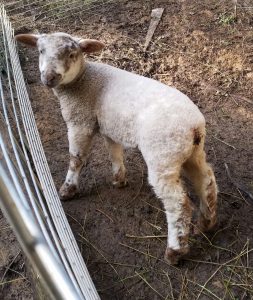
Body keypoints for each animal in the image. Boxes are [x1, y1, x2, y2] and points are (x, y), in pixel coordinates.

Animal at [15, 31, 217, 264]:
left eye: (72, 54)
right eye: (40, 51)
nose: (49, 78)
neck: (83, 80)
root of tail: (195, 127)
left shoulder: (80, 122)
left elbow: (77, 158)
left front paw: (68, 189)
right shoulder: (110, 126)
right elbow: (114, 152)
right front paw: (119, 179)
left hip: (163, 156)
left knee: (179, 204)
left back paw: (174, 251)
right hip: (190, 153)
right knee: (207, 182)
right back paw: (206, 223)